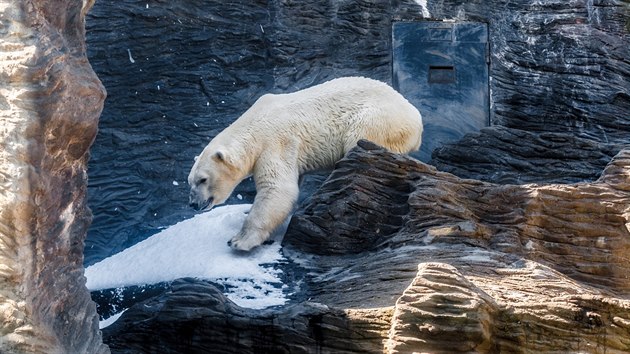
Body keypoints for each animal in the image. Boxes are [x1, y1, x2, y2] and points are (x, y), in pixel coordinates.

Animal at [188, 76, 424, 250]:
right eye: (190, 181)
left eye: (203, 180)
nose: (193, 203)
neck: (254, 125)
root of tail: (416, 118)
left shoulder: (275, 142)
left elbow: (278, 189)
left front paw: (239, 240)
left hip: (377, 119)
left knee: (359, 137)